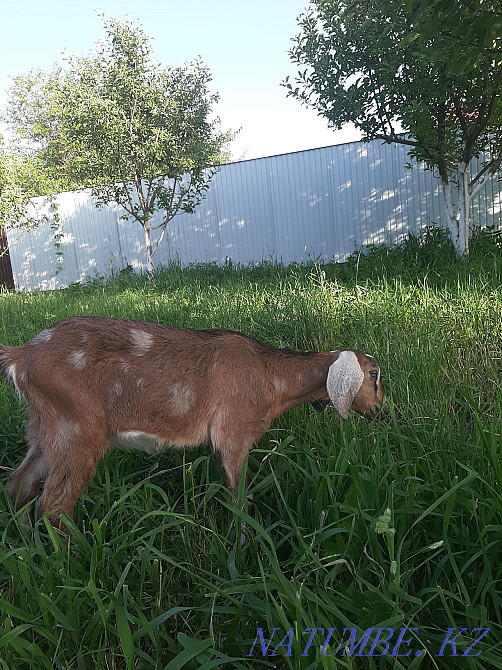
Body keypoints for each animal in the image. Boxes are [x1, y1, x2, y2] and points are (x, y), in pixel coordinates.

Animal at [1, 316, 384, 528]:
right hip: (77, 427)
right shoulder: (233, 432)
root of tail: (22, 356)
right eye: (374, 374)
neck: (269, 375)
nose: (381, 412)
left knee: (19, 484)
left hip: (44, 428)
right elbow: (240, 499)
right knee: (53, 504)